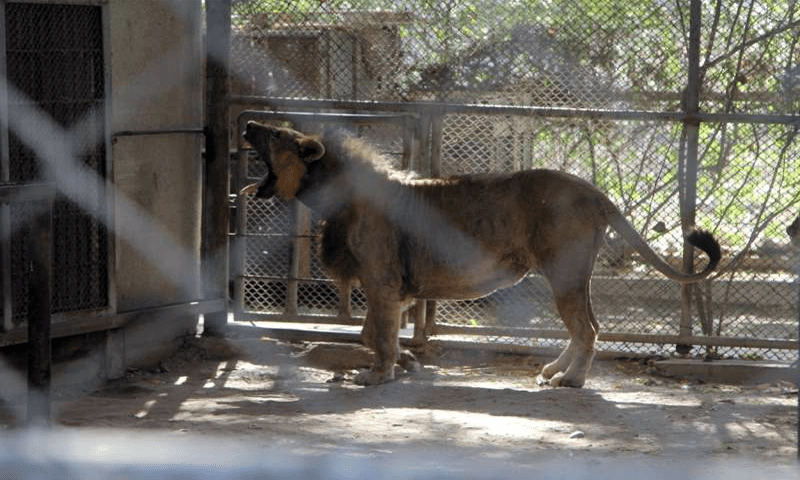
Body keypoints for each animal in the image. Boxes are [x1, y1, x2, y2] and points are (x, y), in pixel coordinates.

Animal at [241, 122, 721, 387]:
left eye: (277, 135)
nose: (248, 125)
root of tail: (595, 191)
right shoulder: (392, 289)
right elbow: (369, 334)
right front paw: (401, 363)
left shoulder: (382, 281)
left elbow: (379, 336)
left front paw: (378, 375)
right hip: (571, 275)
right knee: (588, 326)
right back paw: (554, 371)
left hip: (564, 272)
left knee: (585, 329)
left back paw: (571, 380)